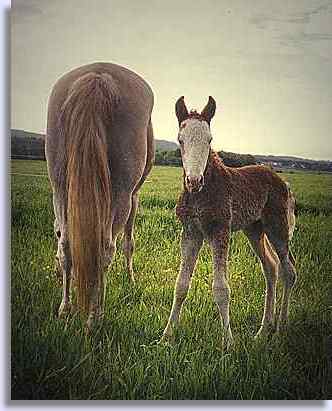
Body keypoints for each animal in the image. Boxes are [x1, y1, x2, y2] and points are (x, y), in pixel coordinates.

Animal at [45, 62, 154, 332]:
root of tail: (98, 76)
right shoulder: (134, 197)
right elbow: (128, 243)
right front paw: (130, 279)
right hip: (121, 194)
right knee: (105, 248)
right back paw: (95, 317)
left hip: (60, 185)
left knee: (68, 244)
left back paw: (65, 309)